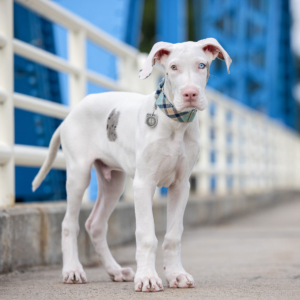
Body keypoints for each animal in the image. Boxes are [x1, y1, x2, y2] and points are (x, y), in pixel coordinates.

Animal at [32, 38, 231, 292]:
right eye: (173, 67)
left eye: (202, 65)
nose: (190, 93)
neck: (174, 122)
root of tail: (70, 114)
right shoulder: (144, 184)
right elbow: (146, 235)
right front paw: (147, 277)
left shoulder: (181, 186)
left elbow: (173, 235)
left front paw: (176, 274)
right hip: (78, 175)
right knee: (69, 224)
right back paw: (73, 270)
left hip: (113, 184)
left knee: (95, 224)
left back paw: (115, 270)